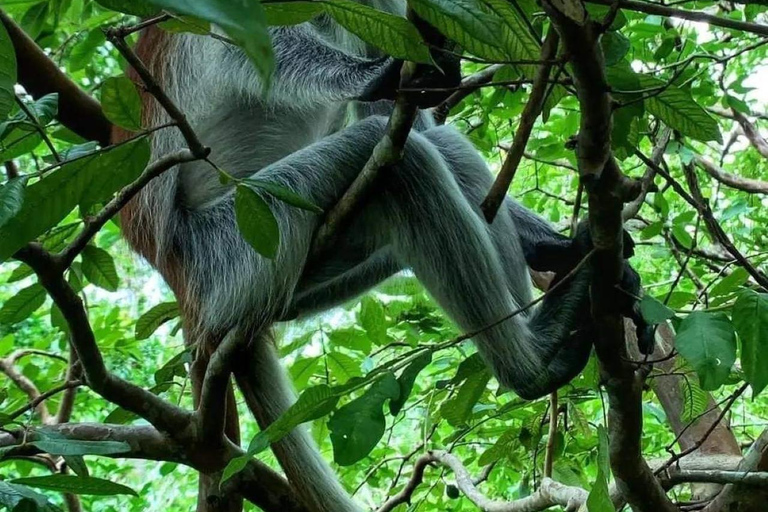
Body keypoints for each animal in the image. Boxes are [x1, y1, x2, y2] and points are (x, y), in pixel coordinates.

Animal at [108, 2, 644, 510]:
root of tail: (181, 284)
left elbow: (402, 116)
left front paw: (557, 246)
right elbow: (246, 37)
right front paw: (371, 75)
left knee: (416, 147)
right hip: (235, 243)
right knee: (401, 163)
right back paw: (534, 367)